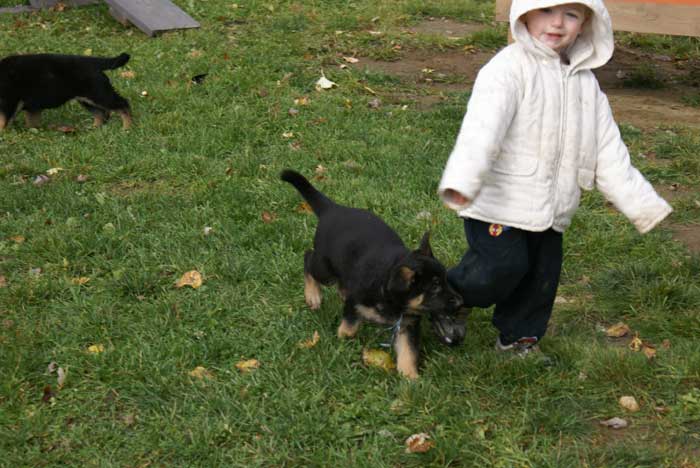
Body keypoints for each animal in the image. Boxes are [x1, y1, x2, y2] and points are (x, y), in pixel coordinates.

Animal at [0, 52, 132, 131]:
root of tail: (92, 62)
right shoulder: (29, 106)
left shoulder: (8, 102)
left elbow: (3, 120)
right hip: (87, 99)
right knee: (101, 113)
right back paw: (94, 128)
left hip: (99, 94)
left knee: (123, 105)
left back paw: (127, 128)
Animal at [278, 170, 464, 378]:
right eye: (434, 286)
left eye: (445, 280)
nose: (460, 302)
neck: (387, 293)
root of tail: (333, 208)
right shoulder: (355, 304)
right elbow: (350, 326)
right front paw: (342, 338)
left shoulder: (407, 325)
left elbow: (408, 351)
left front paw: (410, 377)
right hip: (325, 269)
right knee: (308, 258)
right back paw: (313, 295)